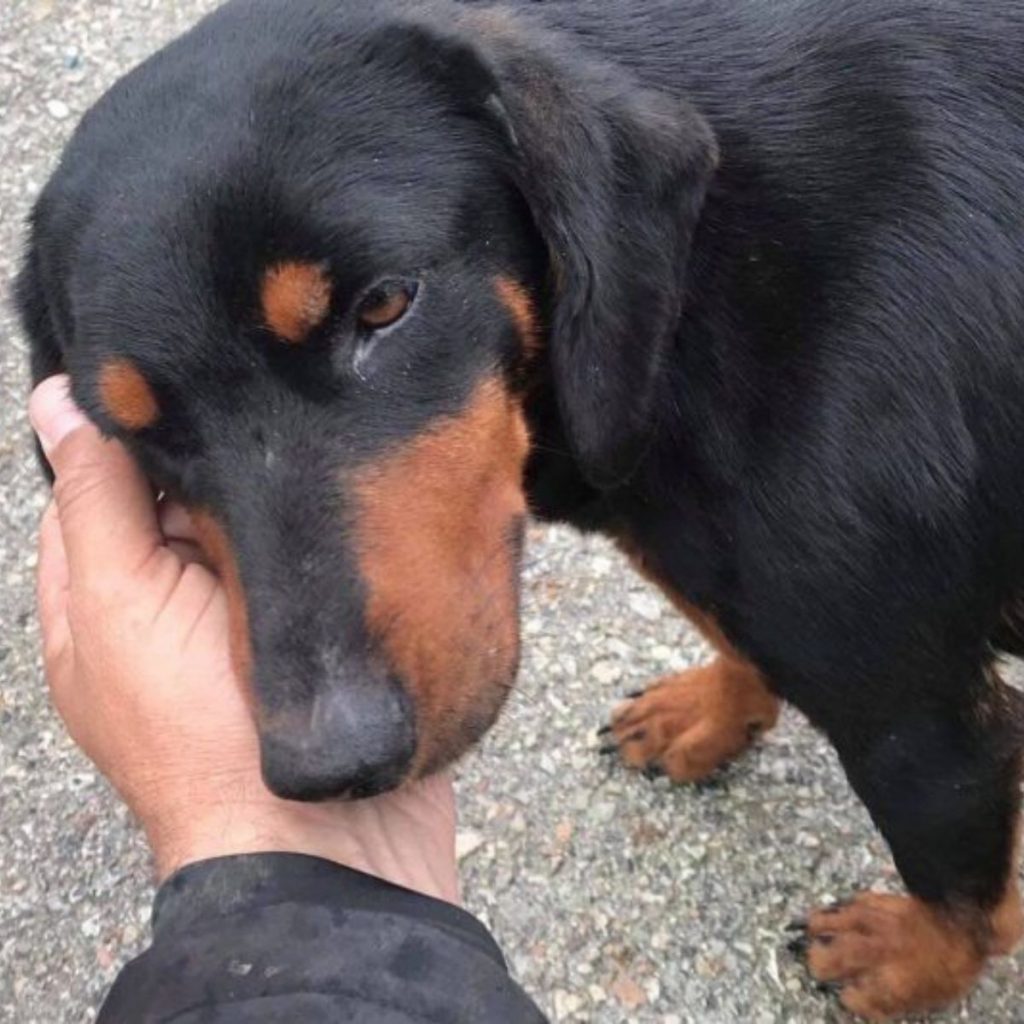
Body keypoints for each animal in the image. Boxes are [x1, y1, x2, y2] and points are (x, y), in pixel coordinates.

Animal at [14, 0, 1024, 1015]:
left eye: (384, 304)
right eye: (134, 426)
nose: (333, 767)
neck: (718, 271)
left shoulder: (913, 709)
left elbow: (963, 879)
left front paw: (906, 963)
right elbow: (732, 631)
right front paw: (709, 715)